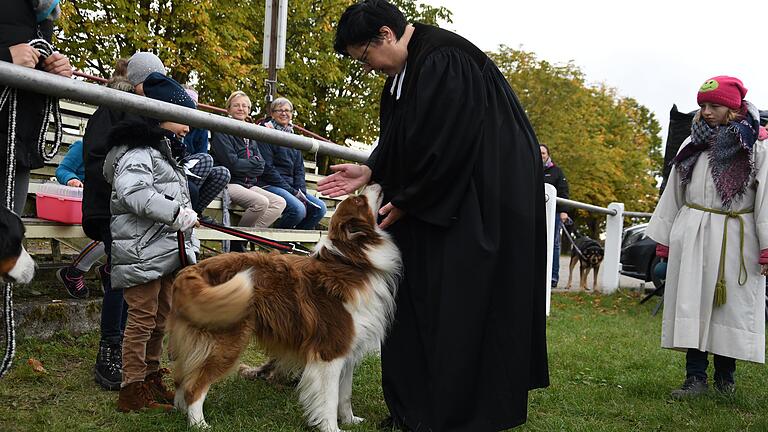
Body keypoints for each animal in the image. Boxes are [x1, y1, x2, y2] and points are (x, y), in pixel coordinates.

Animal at [166, 183, 400, 432]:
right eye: (359, 201)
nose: (375, 183)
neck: (350, 263)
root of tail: (196, 268)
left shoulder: (348, 352)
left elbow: (344, 396)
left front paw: (350, 421)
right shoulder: (330, 352)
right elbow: (329, 398)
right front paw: (331, 427)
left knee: (181, 377)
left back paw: (180, 411)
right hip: (226, 342)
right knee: (195, 385)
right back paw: (199, 423)